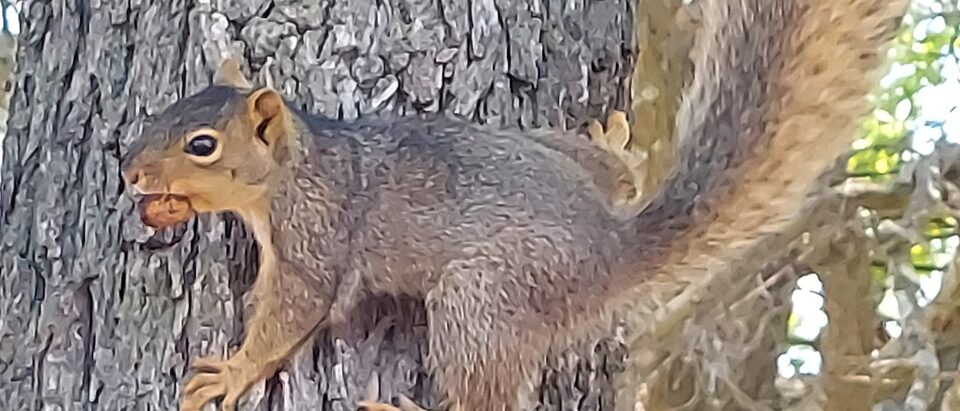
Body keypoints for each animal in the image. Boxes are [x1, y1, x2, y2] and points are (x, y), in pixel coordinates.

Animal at [120, 0, 908, 409]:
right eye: (159, 113)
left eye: (200, 145)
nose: (129, 173)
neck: (296, 163)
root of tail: (612, 251)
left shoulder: (317, 231)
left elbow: (294, 310)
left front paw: (232, 370)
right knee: (609, 172)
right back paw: (612, 147)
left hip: (485, 299)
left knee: (488, 396)